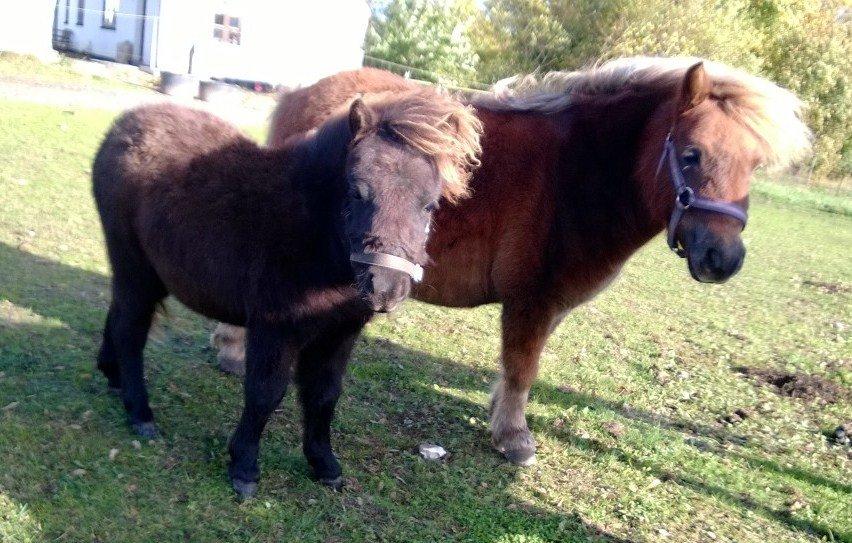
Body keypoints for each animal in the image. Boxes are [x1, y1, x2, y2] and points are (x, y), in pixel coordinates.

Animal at [94, 92, 482, 498]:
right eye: (356, 191)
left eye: (430, 205)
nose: (386, 288)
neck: (316, 237)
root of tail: (123, 125)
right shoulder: (274, 328)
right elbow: (266, 393)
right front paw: (244, 466)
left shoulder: (339, 333)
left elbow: (324, 395)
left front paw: (324, 463)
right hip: (134, 265)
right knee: (130, 330)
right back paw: (140, 412)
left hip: (150, 273)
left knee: (118, 315)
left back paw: (112, 376)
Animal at [215, 59, 812, 468]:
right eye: (691, 155)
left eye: (754, 164)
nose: (723, 259)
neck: (580, 171)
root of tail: (303, 92)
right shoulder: (532, 298)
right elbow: (523, 366)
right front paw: (514, 439)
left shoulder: (548, 305)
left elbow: (519, 367)